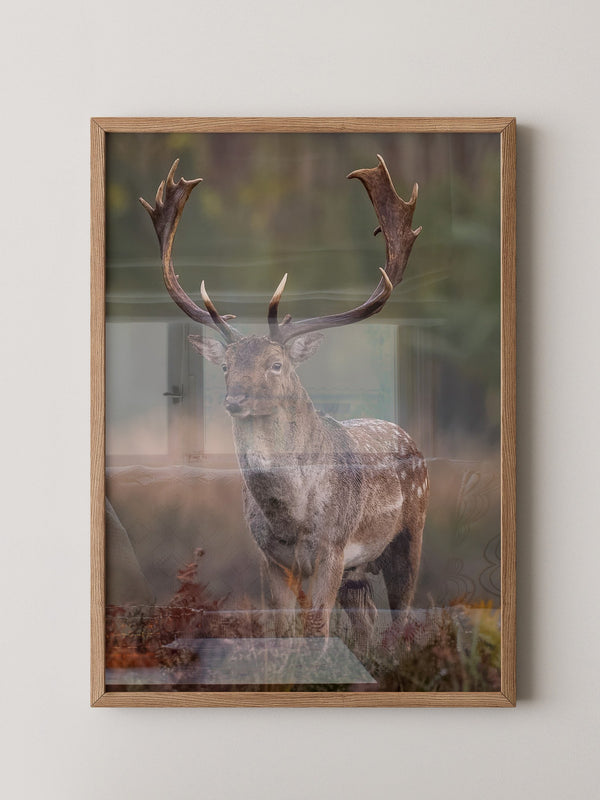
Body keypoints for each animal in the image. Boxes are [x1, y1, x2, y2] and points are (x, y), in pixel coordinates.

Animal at [140, 155, 429, 641]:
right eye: (226, 366)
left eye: (276, 365)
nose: (235, 399)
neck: (291, 519)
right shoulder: (270, 556)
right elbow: (280, 627)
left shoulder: (333, 546)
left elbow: (315, 627)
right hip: (359, 573)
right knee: (366, 619)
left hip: (410, 534)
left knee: (401, 619)